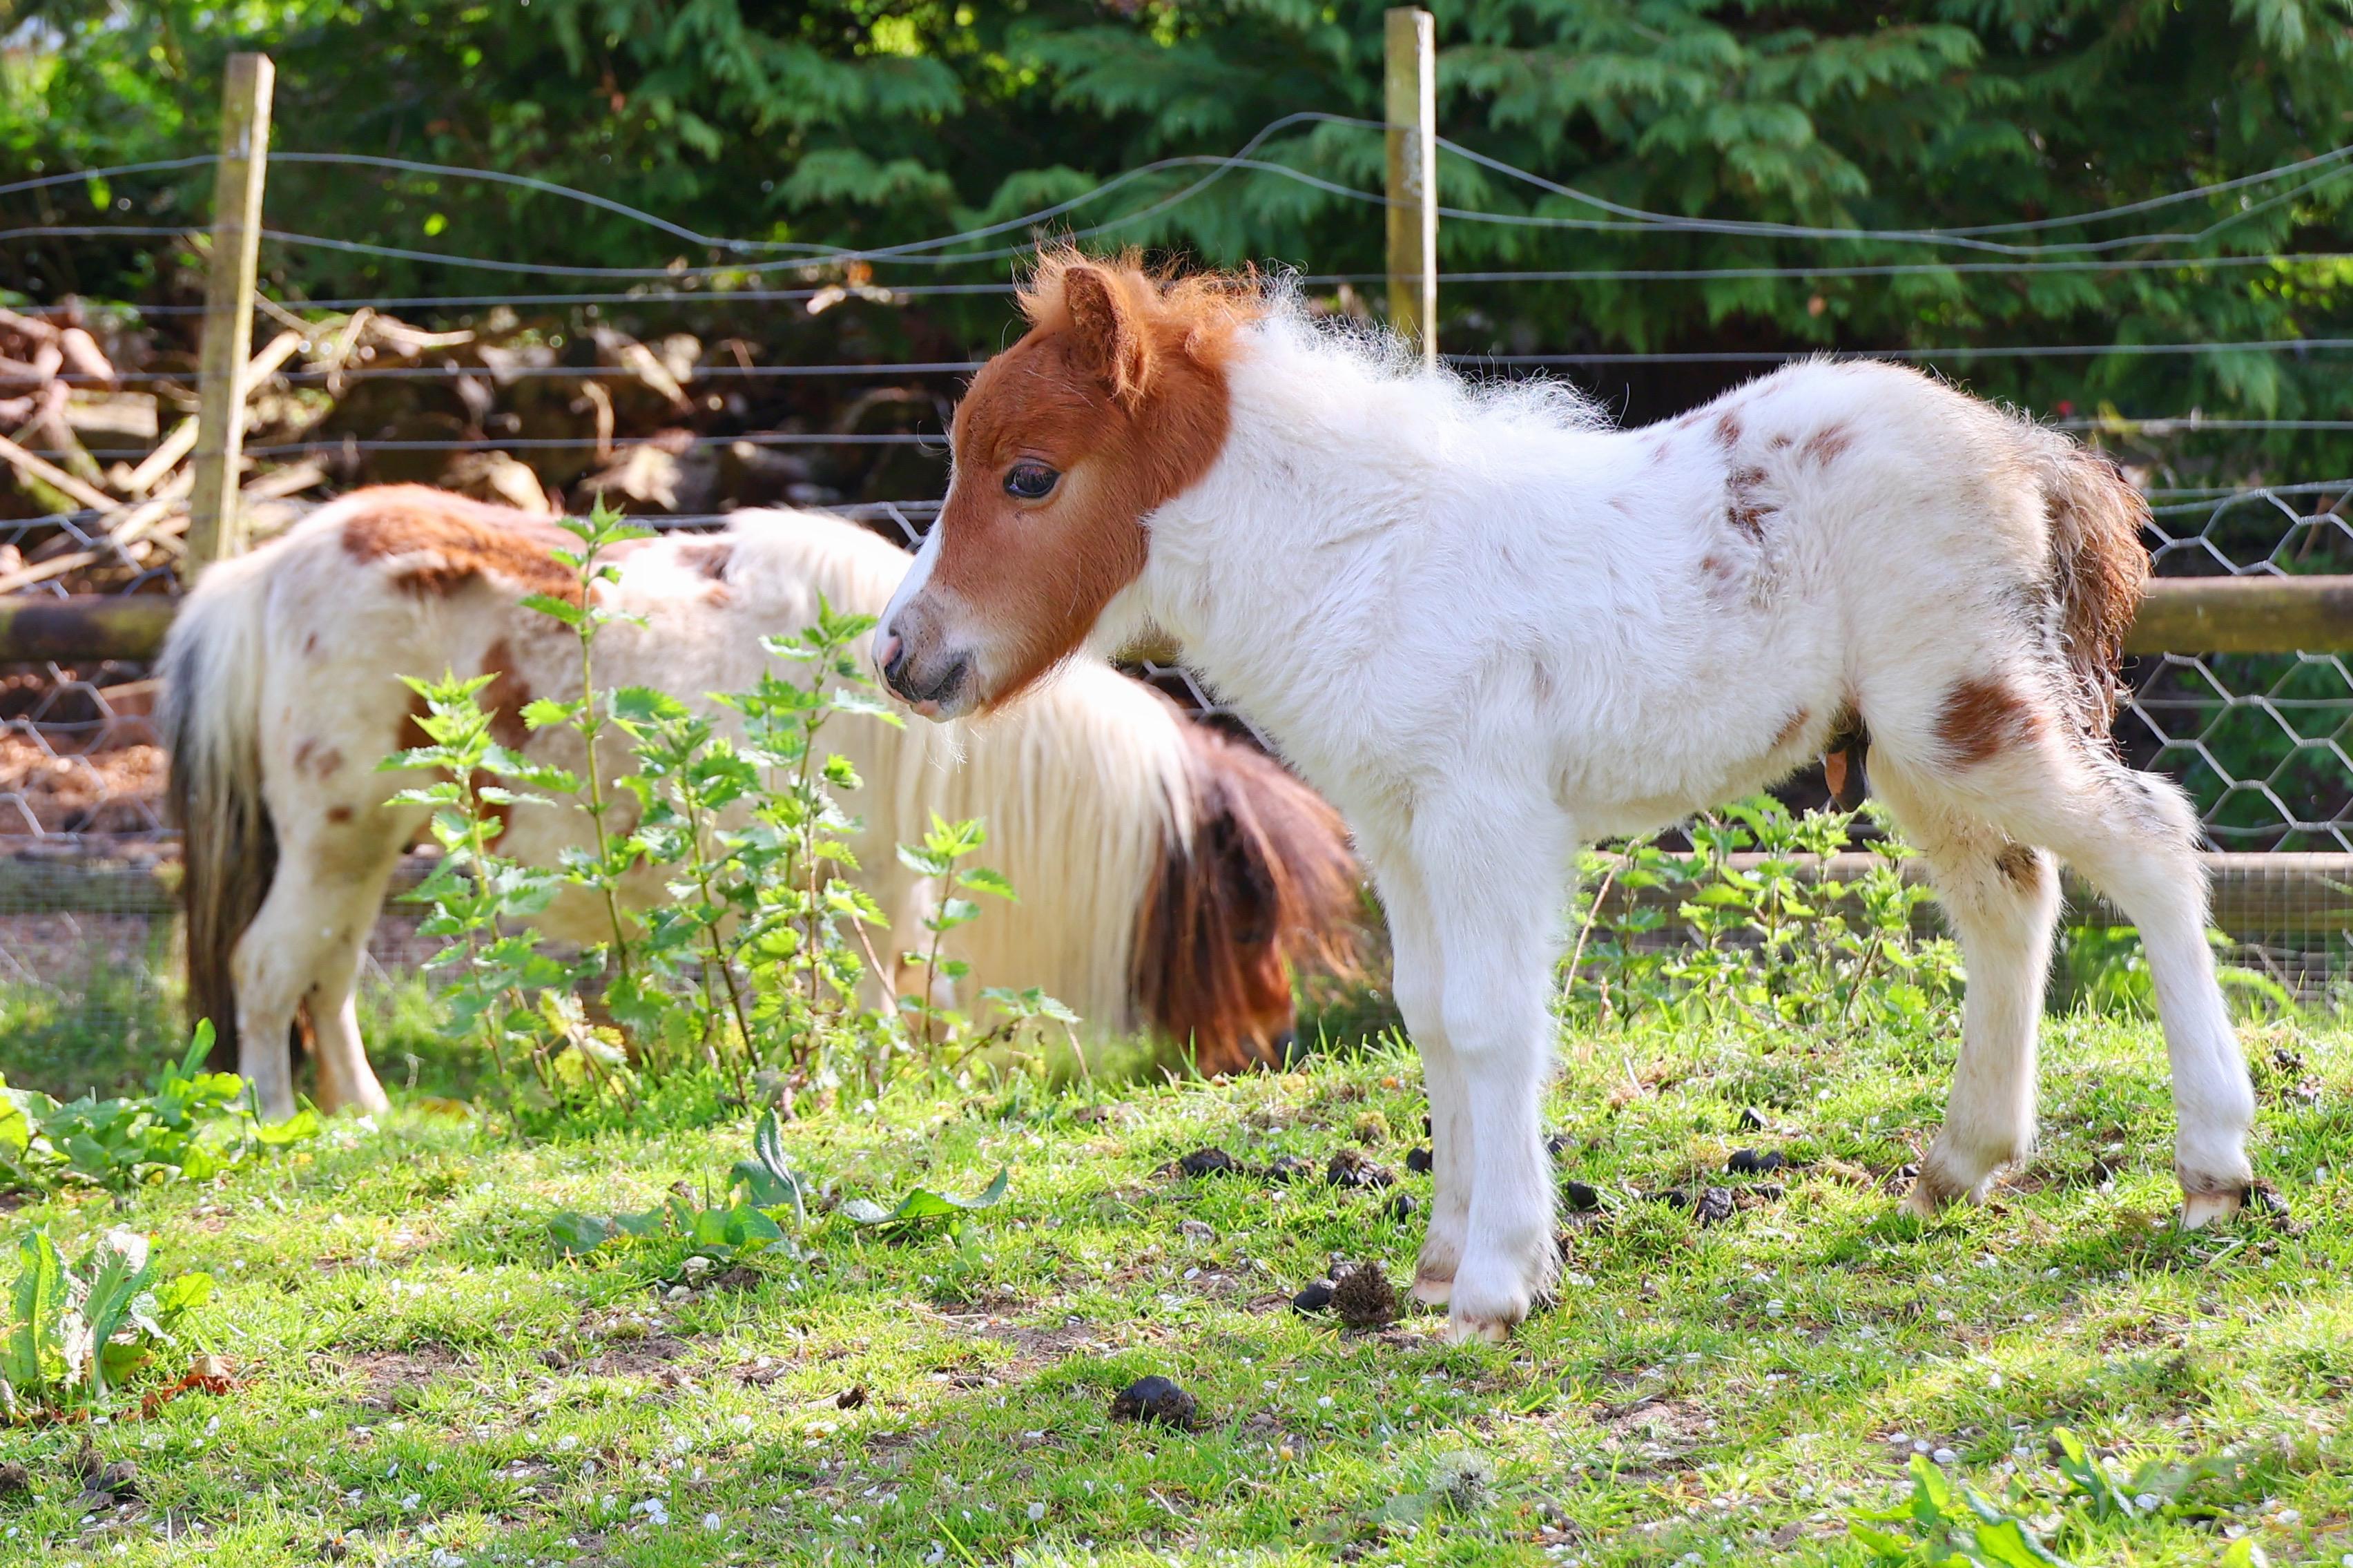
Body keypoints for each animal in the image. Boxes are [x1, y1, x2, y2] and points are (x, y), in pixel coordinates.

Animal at [160, 484, 1357, 1120]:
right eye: (1253, 920)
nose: (1271, 1046)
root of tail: (263, 567)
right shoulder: (869, 892)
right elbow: (867, 1013)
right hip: (337, 840)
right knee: (269, 970)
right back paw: (284, 1119)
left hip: (367, 851)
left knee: (327, 978)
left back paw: (365, 1112)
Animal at [873, 250, 2256, 1342]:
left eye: (1030, 476)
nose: (899, 653)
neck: (1363, 556)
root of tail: (2022, 446)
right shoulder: (1398, 826)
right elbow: (1428, 1015)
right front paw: (1436, 1265)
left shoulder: (1487, 816)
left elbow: (1493, 1021)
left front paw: (1496, 1284)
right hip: (1918, 750)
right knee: (2010, 901)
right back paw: (1962, 1162)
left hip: (1966, 719)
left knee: (2149, 838)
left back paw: (2211, 1165)